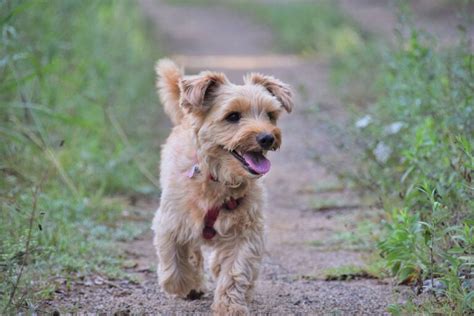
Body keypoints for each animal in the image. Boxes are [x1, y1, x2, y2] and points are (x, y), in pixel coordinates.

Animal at [152, 58, 292, 314]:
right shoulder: (170, 222)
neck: (218, 179)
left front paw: (230, 306)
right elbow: (174, 259)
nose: (267, 137)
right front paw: (184, 284)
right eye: (233, 116)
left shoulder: (246, 233)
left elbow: (235, 271)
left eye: (270, 115)